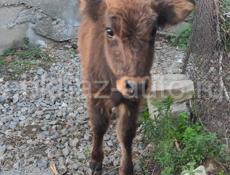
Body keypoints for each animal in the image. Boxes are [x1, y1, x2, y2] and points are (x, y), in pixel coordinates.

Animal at [77, 0, 194, 174]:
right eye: (109, 30)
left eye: (153, 31)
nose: (137, 85)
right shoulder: (95, 95)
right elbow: (99, 127)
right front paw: (96, 161)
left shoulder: (132, 102)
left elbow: (126, 134)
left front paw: (126, 168)